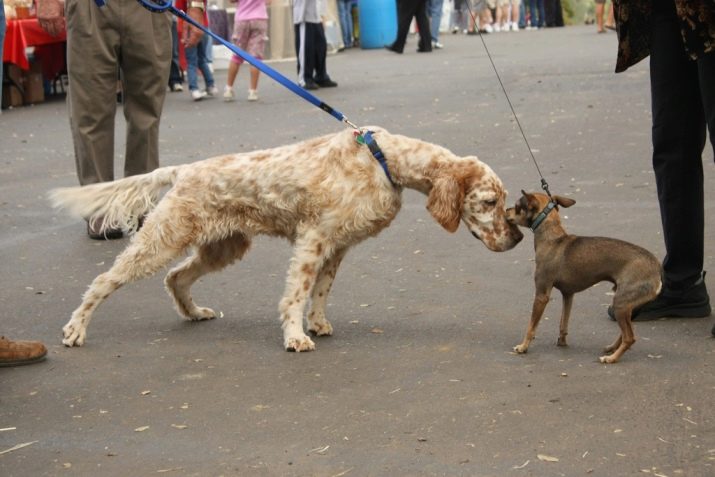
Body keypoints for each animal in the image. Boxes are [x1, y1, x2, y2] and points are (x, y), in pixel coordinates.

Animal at [50, 126, 520, 350]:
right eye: (489, 201)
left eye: (503, 200)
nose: (516, 238)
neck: (384, 160)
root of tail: (183, 170)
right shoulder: (313, 239)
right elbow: (296, 293)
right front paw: (296, 336)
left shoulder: (338, 245)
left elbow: (322, 290)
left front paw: (319, 324)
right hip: (162, 239)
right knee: (104, 281)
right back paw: (75, 330)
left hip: (225, 245)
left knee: (176, 278)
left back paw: (195, 312)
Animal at [506, 190, 664, 360]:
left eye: (517, 206)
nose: (506, 210)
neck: (553, 240)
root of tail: (656, 268)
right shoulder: (568, 295)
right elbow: (563, 321)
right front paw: (562, 341)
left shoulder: (542, 295)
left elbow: (531, 327)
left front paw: (523, 346)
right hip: (627, 307)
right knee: (626, 333)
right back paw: (612, 348)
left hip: (620, 304)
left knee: (629, 337)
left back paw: (612, 359)